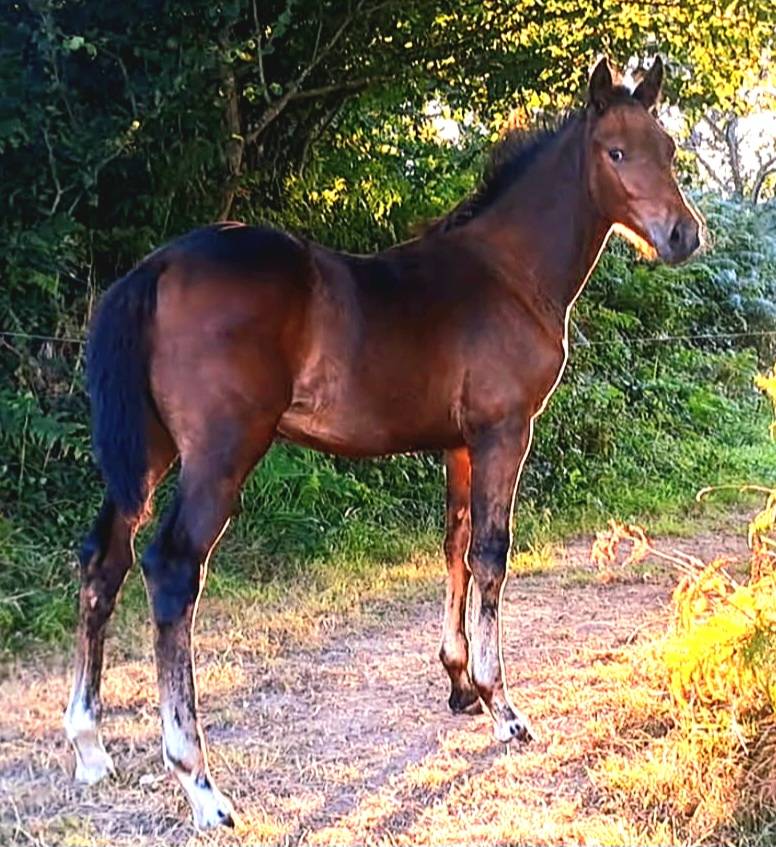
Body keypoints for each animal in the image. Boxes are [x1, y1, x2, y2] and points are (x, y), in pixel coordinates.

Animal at [64, 56, 701, 829]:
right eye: (615, 153)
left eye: (667, 148)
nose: (683, 235)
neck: (510, 275)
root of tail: (154, 268)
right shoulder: (504, 432)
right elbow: (492, 555)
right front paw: (502, 706)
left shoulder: (461, 446)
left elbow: (455, 545)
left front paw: (458, 684)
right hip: (220, 454)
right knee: (171, 569)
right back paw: (200, 784)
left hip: (149, 453)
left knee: (105, 561)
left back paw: (90, 746)